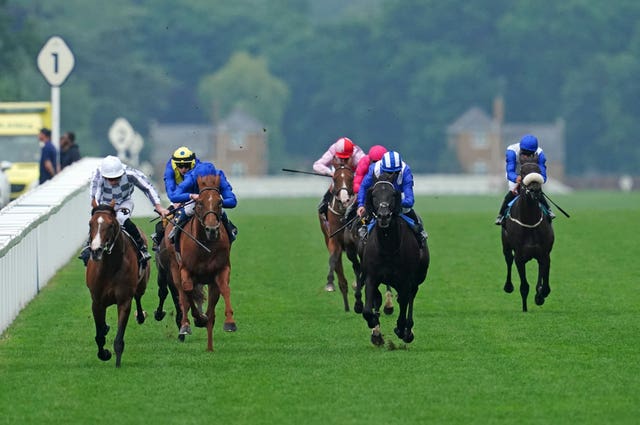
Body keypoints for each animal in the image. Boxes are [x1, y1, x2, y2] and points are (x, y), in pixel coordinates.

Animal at [85, 204, 150, 366]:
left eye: (111, 225)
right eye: (90, 224)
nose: (96, 251)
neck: (110, 266)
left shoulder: (124, 301)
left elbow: (119, 339)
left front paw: (117, 363)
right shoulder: (97, 302)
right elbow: (99, 335)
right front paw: (104, 354)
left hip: (142, 284)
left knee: (138, 296)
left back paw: (140, 316)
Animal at [168, 172, 238, 352]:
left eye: (220, 202)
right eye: (199, 202)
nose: (212, 230)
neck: (205, 244)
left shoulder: (221, 269)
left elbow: (225, 289)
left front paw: (230, 323)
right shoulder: (185, 269)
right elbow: (187, 290)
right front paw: (195, 320)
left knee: (211, 308)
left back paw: (209, 344)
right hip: (174, 270)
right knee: (182, 293)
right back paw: (187, 324)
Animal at [320, 164, 360, 310]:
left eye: (351, 178)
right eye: (334, 178)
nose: (345, 200)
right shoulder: (334, 241)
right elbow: (335, 263)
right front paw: (331, 284)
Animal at [360, 179, 430, 344]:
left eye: (392, 194)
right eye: (374, 195)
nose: (384, 215)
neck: (388, 247)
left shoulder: (405, 279)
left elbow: (404, 303)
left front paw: (401, 329)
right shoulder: (371, 276)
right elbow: (368, 309)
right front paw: (374, 324)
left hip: (416, 279)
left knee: (410, 297)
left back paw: (408, 331)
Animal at [500, 161, 556, 310]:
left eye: (539, 171)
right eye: (523, 172)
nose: (535, 190)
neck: (530, 221)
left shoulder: (544, 254)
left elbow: (544, 286)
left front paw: (539, 297)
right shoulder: (519, 257)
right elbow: (524, 287)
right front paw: (525, 309)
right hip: (506, 246)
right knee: (508, 260)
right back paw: (508, 286)